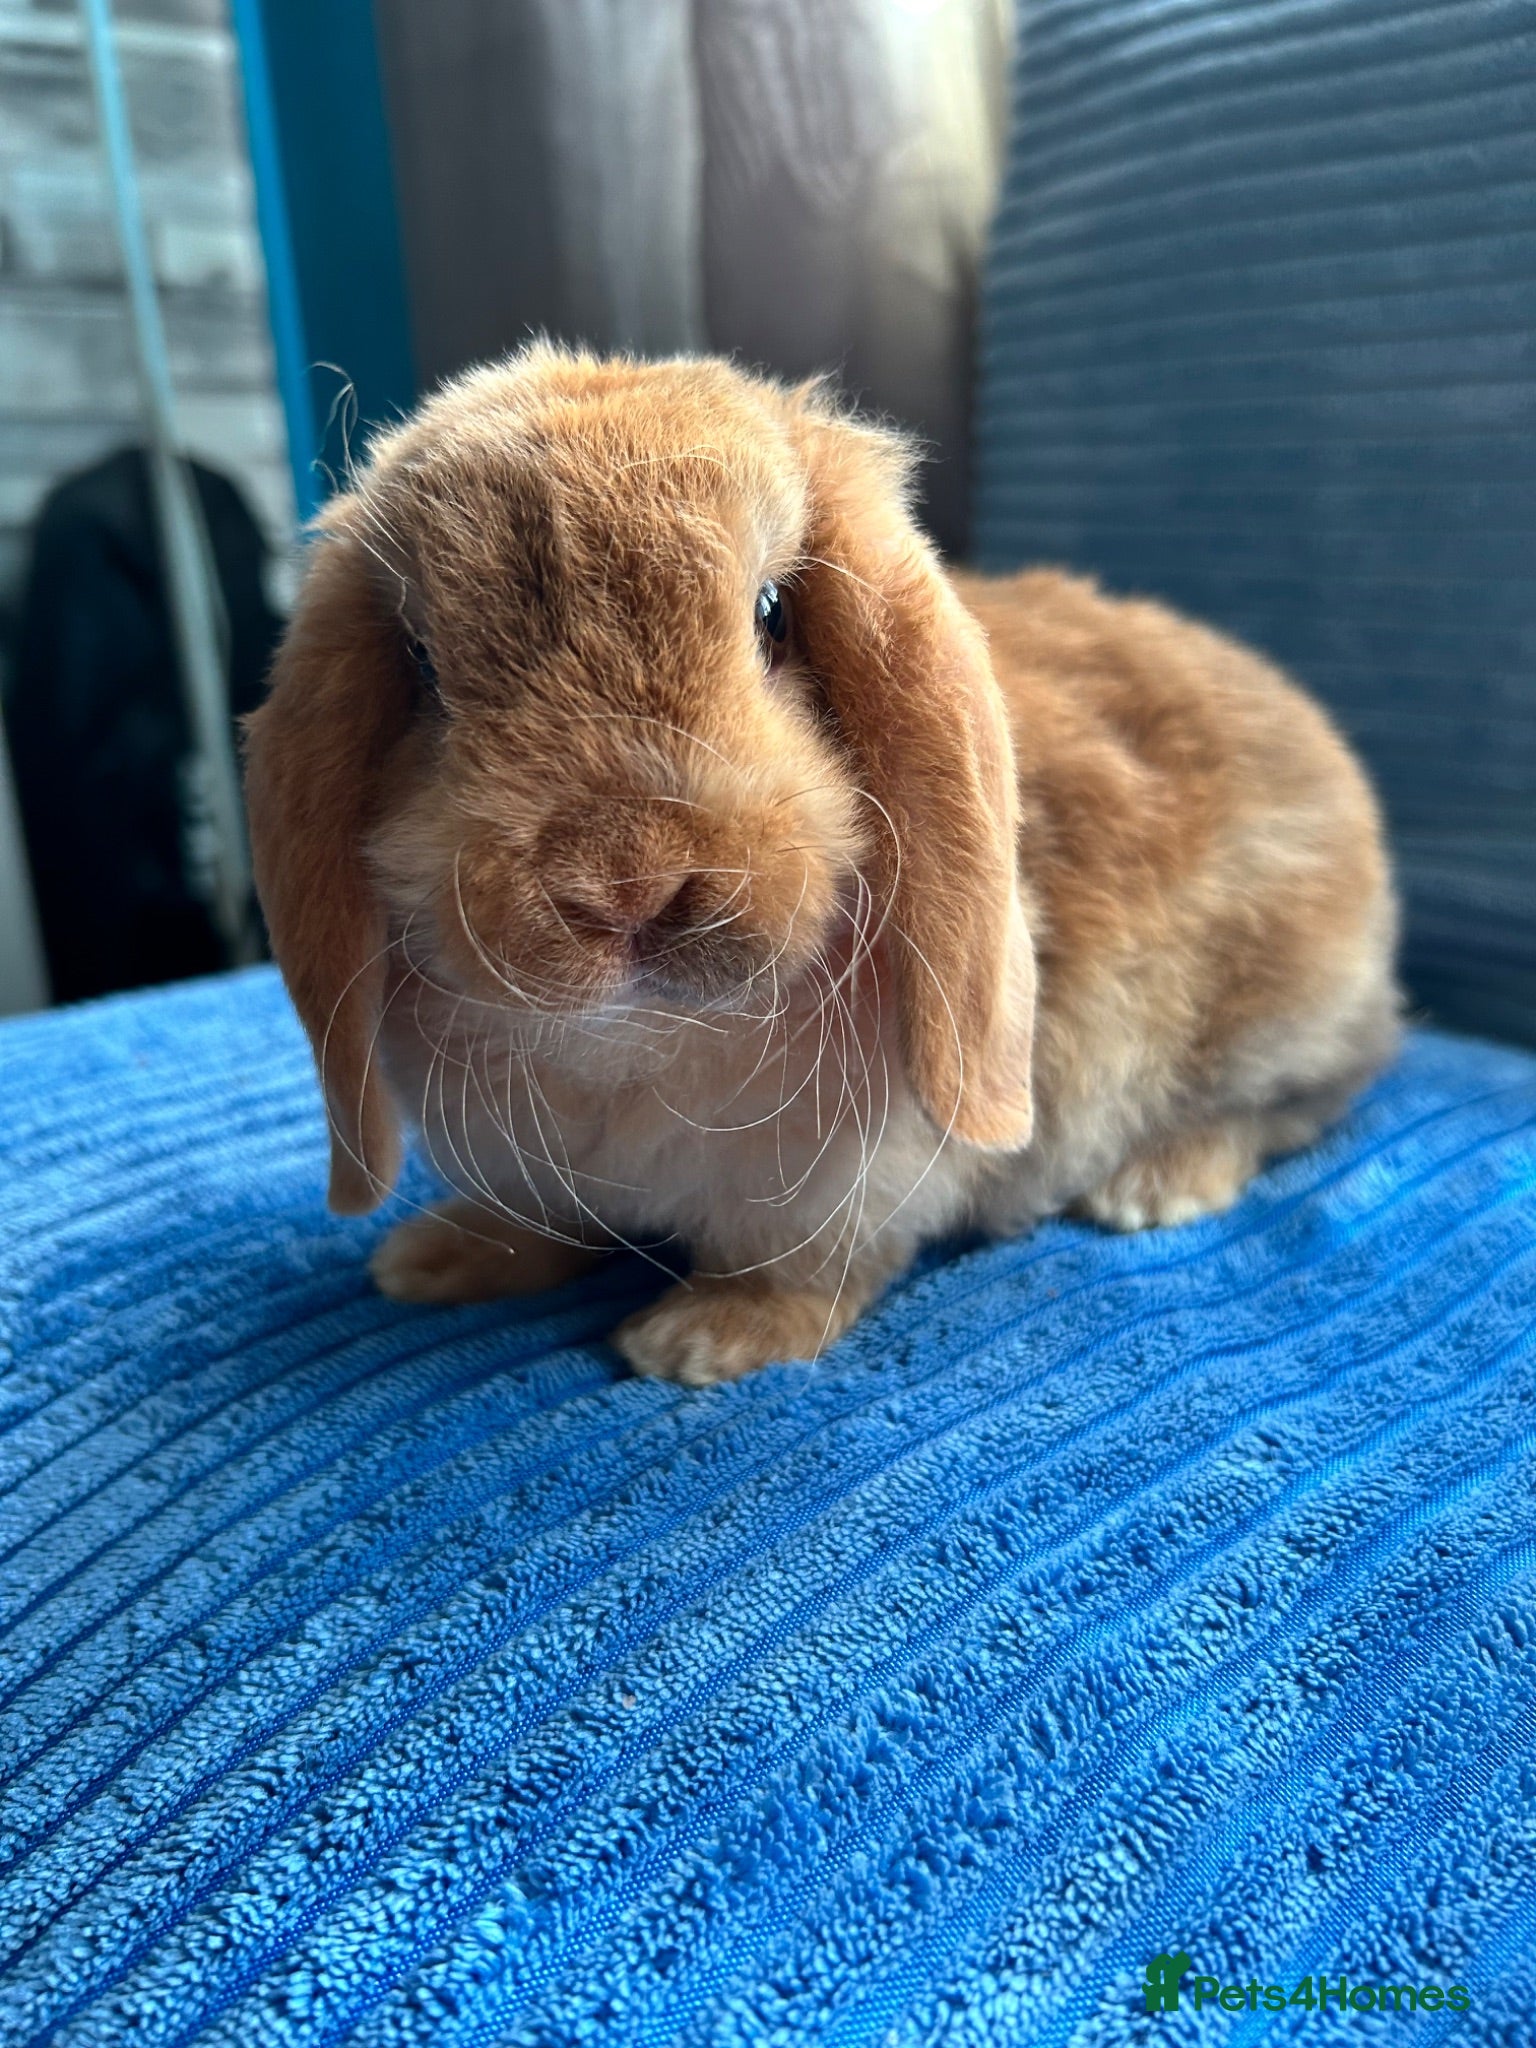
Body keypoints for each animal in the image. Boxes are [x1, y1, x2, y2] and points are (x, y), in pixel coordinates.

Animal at [243, 345, 1399, 1386]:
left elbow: (802, 1272)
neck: (637, 1043)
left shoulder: (848, 1188)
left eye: (772, 616)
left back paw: (1157, 1183)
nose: (627, 883)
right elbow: (534, 1226)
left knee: (1308, 1101)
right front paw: (435, 1257)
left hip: (1276, 1012)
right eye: (424, 666)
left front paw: (704, 1341)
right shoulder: (528, 1167)